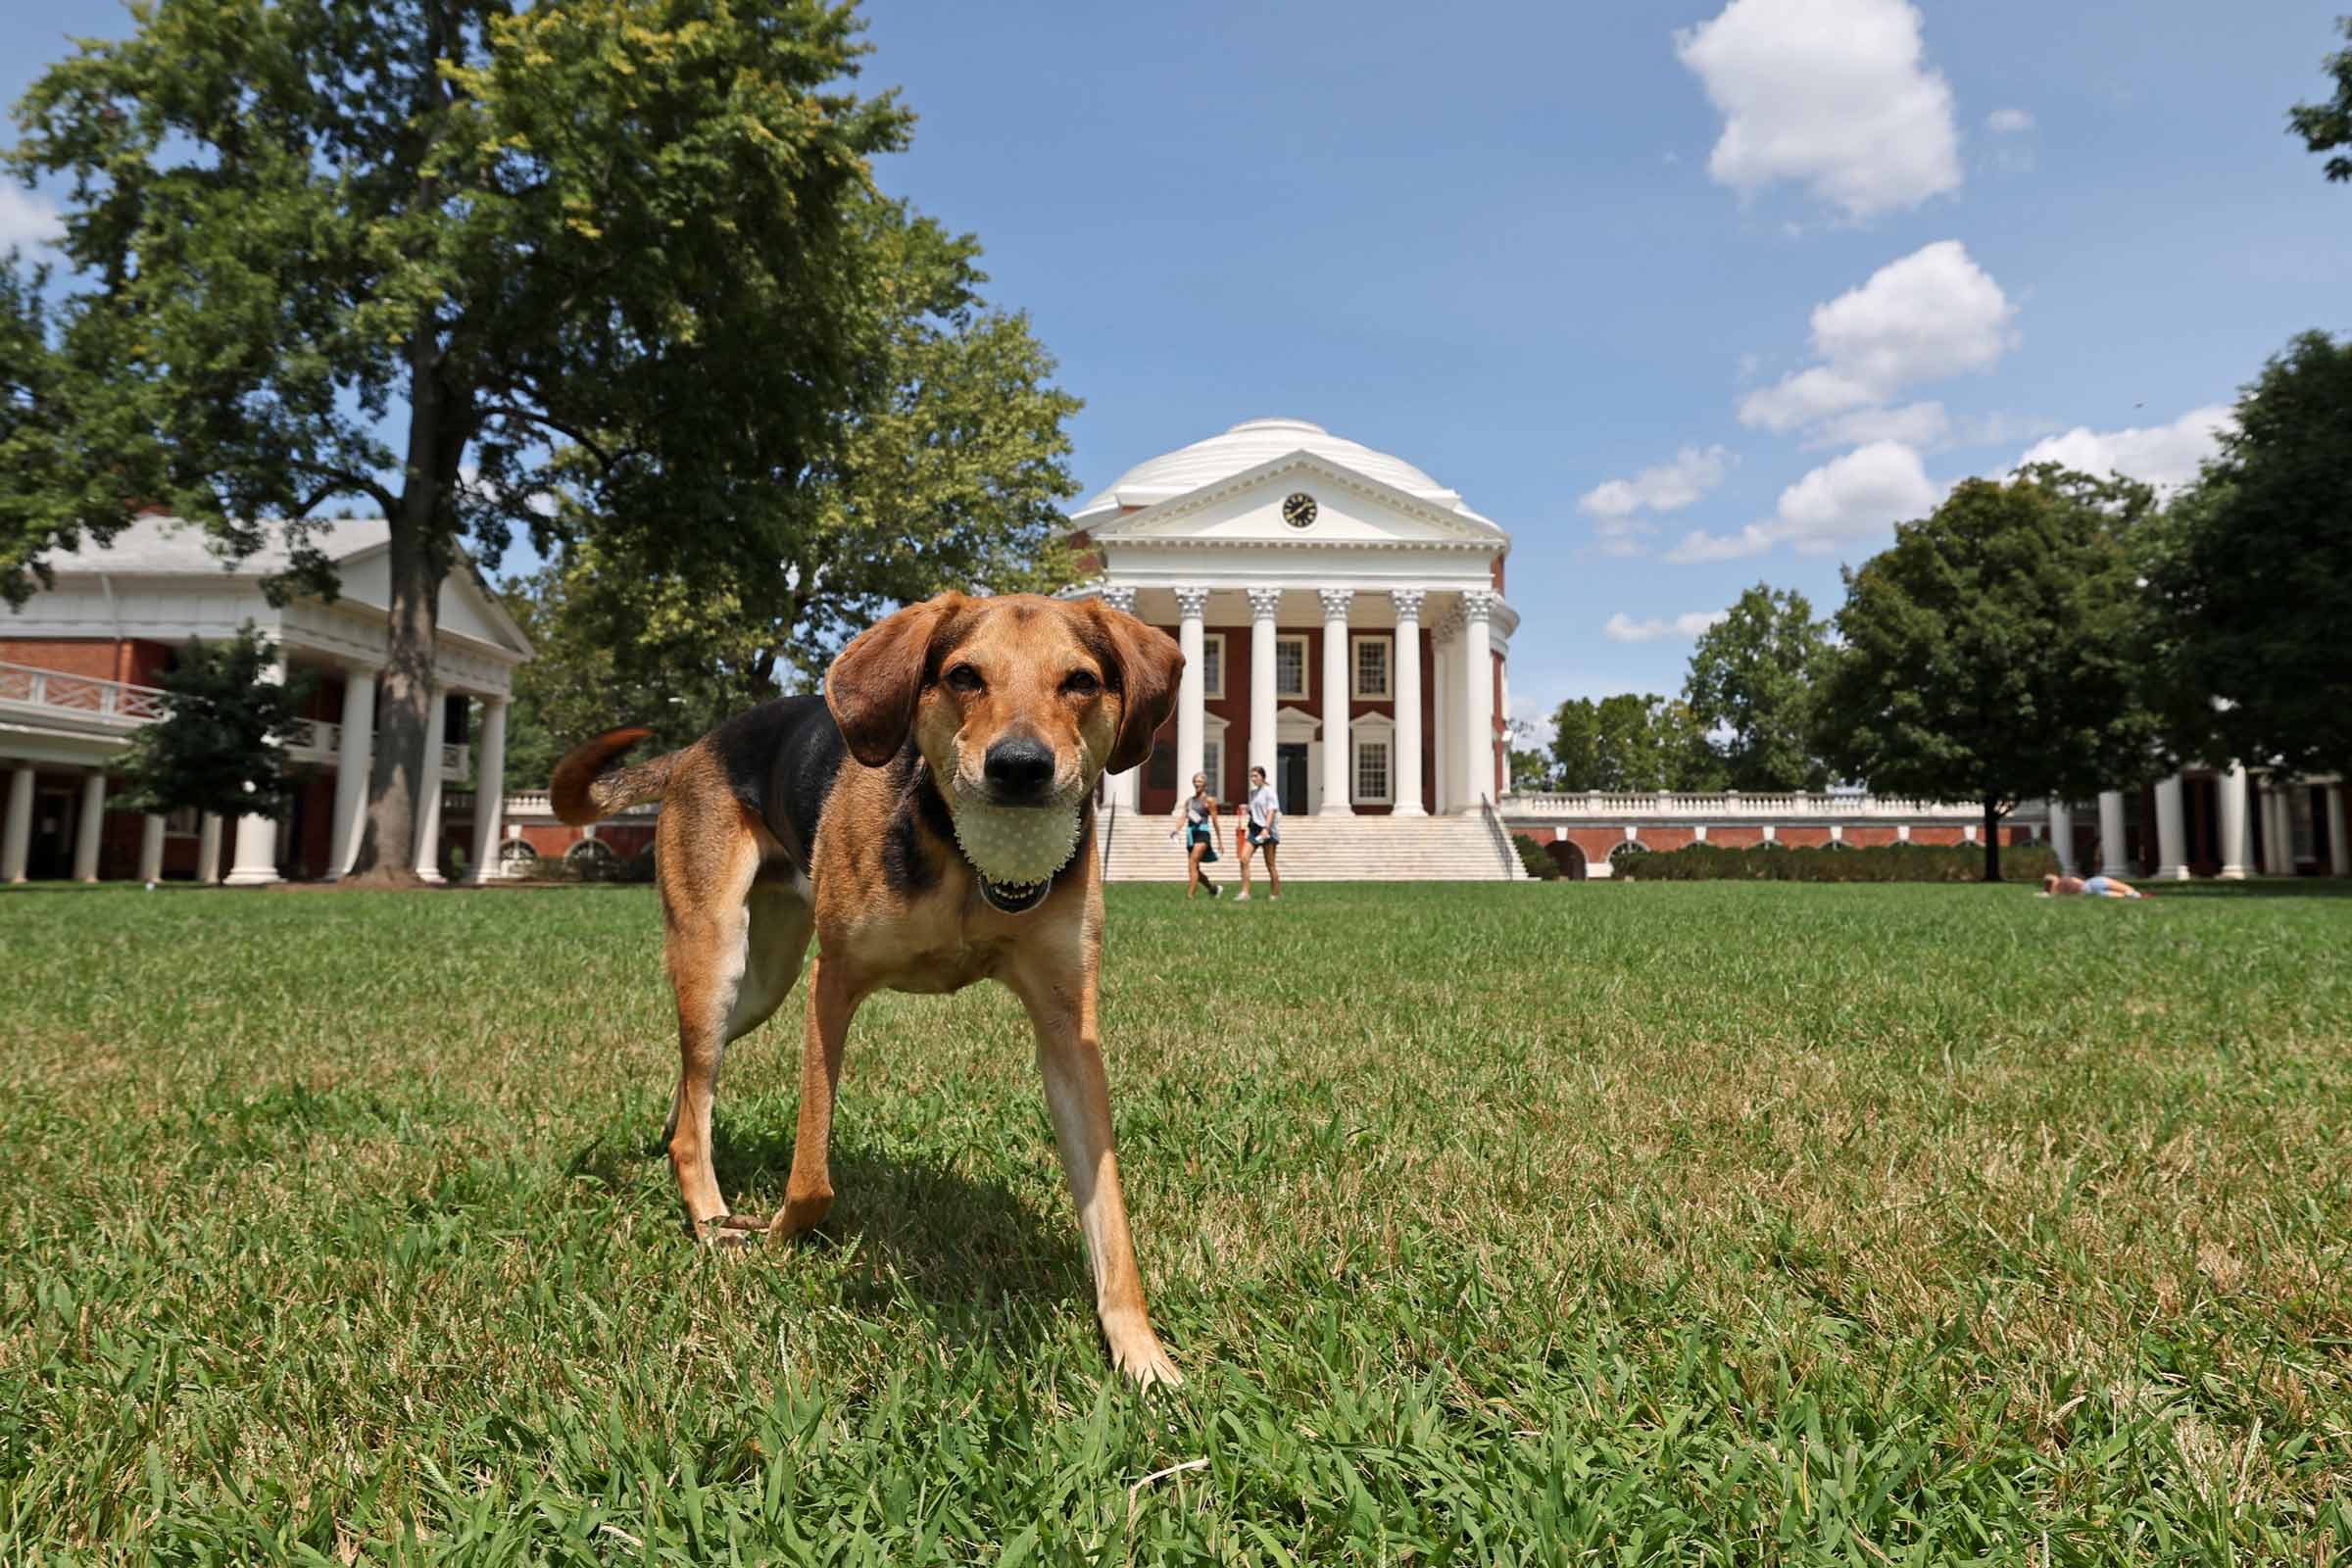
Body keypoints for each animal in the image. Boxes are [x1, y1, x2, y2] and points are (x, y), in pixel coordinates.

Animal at [543, 587, 1185, 1382]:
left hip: (762, 984)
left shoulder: (1070, 1030)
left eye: (1081, 682)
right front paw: (777, 1237)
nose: (1019, 767)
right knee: (696, 1111)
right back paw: (714, 1220)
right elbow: (812, 1179)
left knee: (693, 1081)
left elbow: (1109, 1213)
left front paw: (1141, 1352)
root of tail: (701, 745)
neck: (965, 864)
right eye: (964, 676)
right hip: (717, 954)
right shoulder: (834, 984)